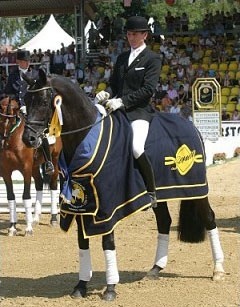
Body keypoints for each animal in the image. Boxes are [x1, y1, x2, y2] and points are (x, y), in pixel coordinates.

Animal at [0, 97, 62, 237]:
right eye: (0, 117)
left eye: (12, 119)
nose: (3, 138)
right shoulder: (6, 172)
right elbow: (11, 197)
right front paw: (12, 227)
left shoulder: (26, 169)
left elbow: (26, 196)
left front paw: (28, 229)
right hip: (35, 166)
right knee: (39, 184)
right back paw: (35, 218)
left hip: (54, 161)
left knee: (53, 185)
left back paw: (53, 219)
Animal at [21, 69, 225, 300]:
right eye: (25, 100)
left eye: (43, 101)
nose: (28, 139)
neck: (85, 137)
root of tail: (190, 125)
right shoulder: (83, 204)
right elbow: (82, 242)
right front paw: (81, 286)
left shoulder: (105, 205)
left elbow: (107, 242)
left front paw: (110, 288)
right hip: (161, 195)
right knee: (164, 221)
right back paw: (155, 269)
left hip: (197, 189)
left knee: (209, 219)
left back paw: (218, 270)